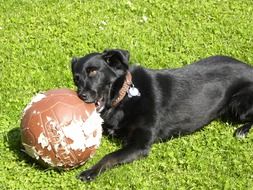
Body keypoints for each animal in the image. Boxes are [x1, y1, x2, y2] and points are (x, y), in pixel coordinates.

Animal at [70, 48, 253, 181]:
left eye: (93, 72)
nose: (81, 95)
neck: (124, 96)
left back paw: (242, 131)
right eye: (76, 78)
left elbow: (109, 156)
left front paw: (90, 172)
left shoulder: (139, 145)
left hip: (238, 105)